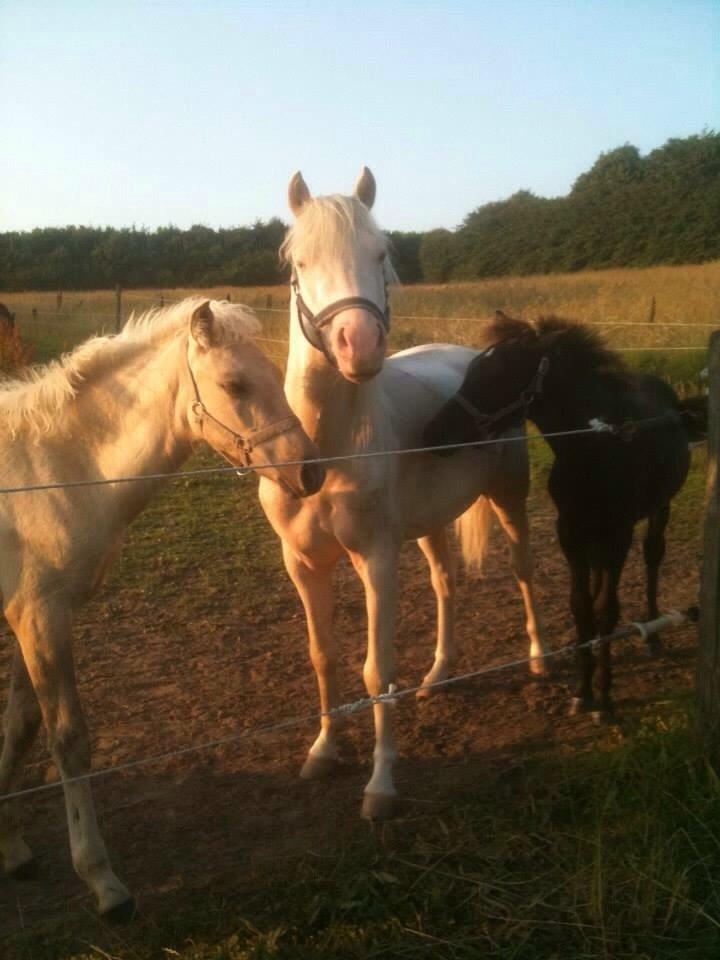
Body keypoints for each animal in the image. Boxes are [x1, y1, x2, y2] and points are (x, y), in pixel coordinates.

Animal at [0, 298, 323, 920]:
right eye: (235, 384)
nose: (311, 472)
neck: (49, 470)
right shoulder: (41, 617)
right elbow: (68, 739)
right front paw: (103, 881)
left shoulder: (31, 618)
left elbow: (21, 726)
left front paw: (11, 846)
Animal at [258, 169, 549, 821]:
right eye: (299, 263)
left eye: (381, 255)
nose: (359, 344)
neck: (330, 446)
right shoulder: (300, 562)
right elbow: (323, 656)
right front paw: (323, 751)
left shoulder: (377, 559)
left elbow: (376, 670)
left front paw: (381, 785)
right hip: (431, 523)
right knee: (445, 582)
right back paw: (438, 676)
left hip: (508, 497)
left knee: (523, 569)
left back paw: (541, 659)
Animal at [423, 311, 702, 721]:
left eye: (497, 375)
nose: (432, 434)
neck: (597, 447)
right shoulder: (570, 533)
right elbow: (582, 607)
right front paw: (582, 692)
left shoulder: (618, 534)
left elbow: (606, 610)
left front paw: (604, 699)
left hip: (657, 509)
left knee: (653, 556)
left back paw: (653, 634)